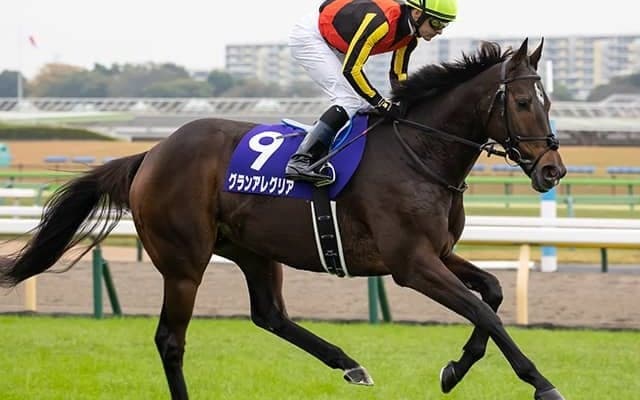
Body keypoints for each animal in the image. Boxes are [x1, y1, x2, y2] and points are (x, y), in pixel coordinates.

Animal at [0, 38, 566, 400]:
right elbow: (484, 311)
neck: (419, 152)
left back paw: (350, 365)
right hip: (184, 260)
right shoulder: (412, 263)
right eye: (522, 101)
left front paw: (454, 369)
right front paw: (541, 383)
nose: (553, 169)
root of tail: (151, 153)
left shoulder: (439, 253)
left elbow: (491, 292)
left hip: (253, 250)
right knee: (170, 340)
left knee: (269, 314)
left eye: (548, 99)